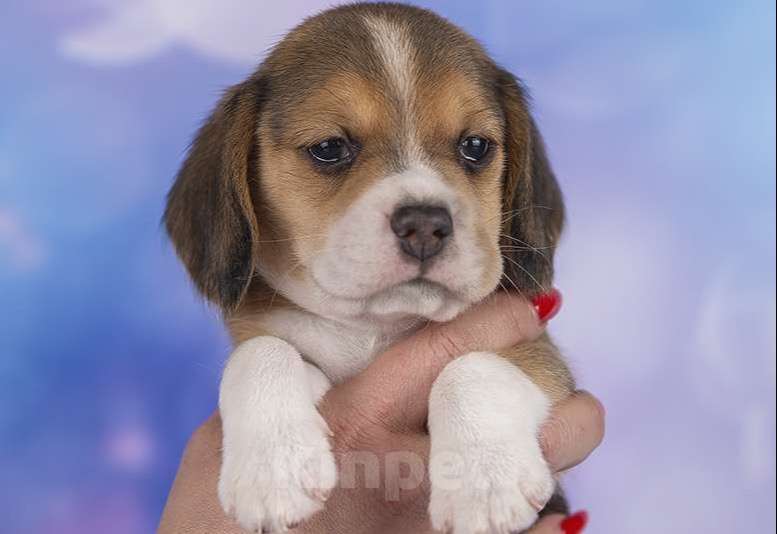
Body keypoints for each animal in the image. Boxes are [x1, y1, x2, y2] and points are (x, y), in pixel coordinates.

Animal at [165, 3, 574, 533]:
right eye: (329, 148)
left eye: (476, 146)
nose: (425, 225)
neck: (372, 328)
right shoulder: (266, 334)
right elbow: (259, 353)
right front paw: (273, 467)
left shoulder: (544, 360)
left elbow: (472, 367)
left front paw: (485, 482)